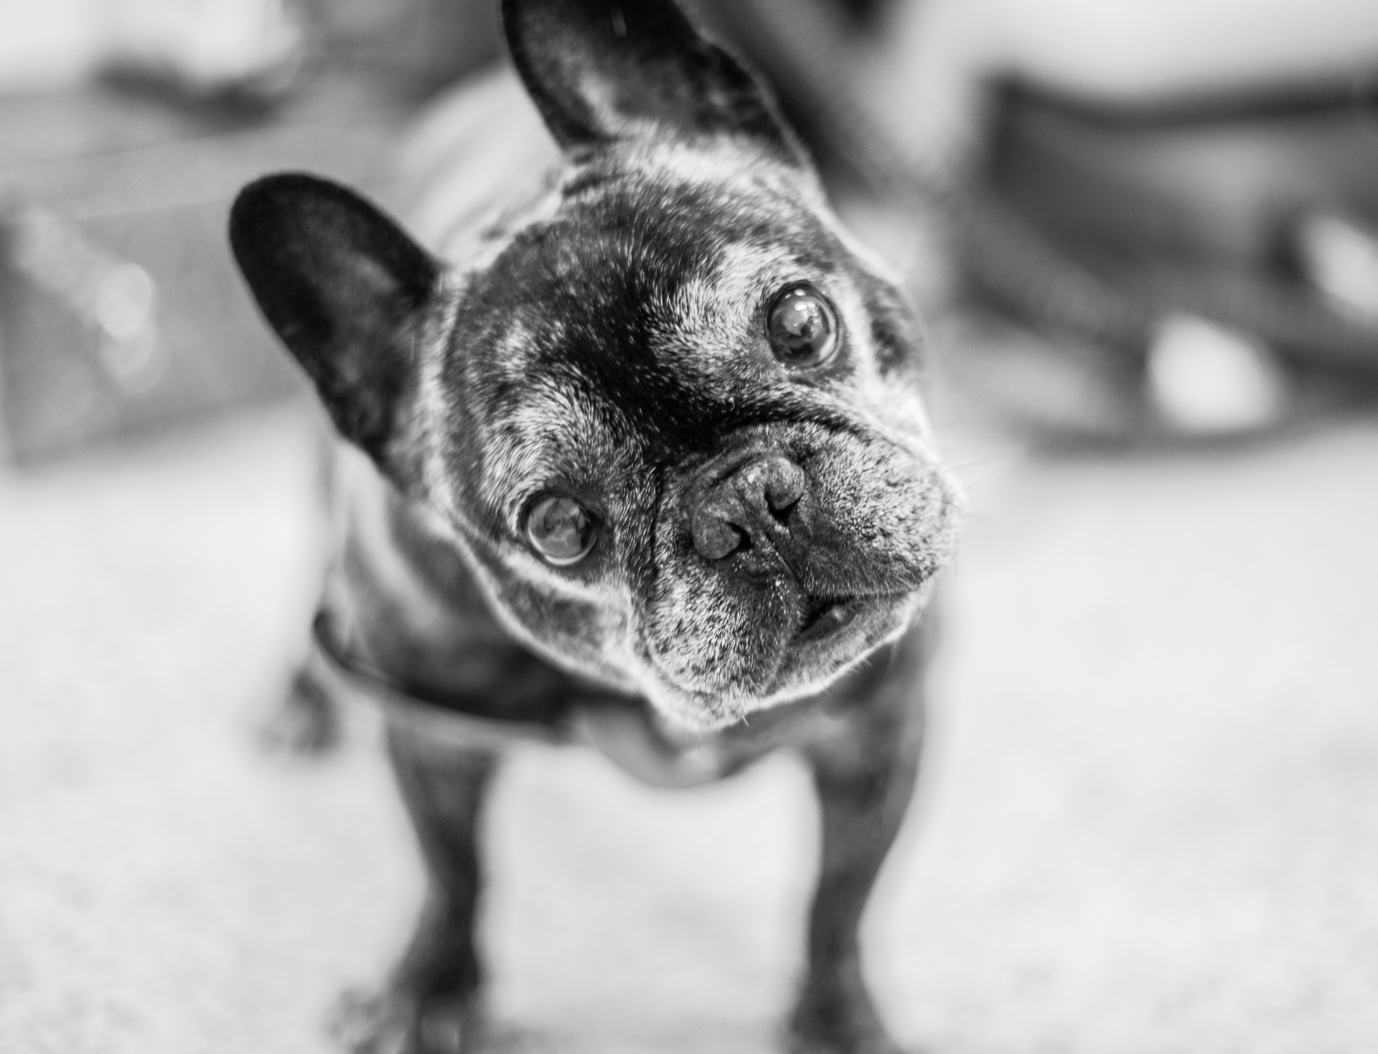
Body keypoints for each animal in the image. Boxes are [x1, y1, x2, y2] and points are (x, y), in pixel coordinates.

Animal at [229, 1, 960, 1050]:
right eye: (559, 527)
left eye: (800, 321)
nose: (745, 501)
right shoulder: (435, 737)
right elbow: (452, 870)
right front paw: (429, 990)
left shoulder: (879, 732)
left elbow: (838, 900)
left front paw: (837, 1022)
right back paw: (298, 699)